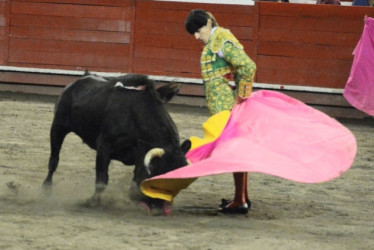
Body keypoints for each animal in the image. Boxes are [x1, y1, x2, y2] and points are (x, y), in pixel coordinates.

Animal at [42, 72, 191, 213]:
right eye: (155, 180)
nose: (158, 210)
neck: (134, 116)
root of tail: (79, 80)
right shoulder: (104, 146)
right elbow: (102, 179)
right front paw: (92, 202)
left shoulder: (138, 154)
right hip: (58, 127)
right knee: (53, 161)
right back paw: (46, 189)